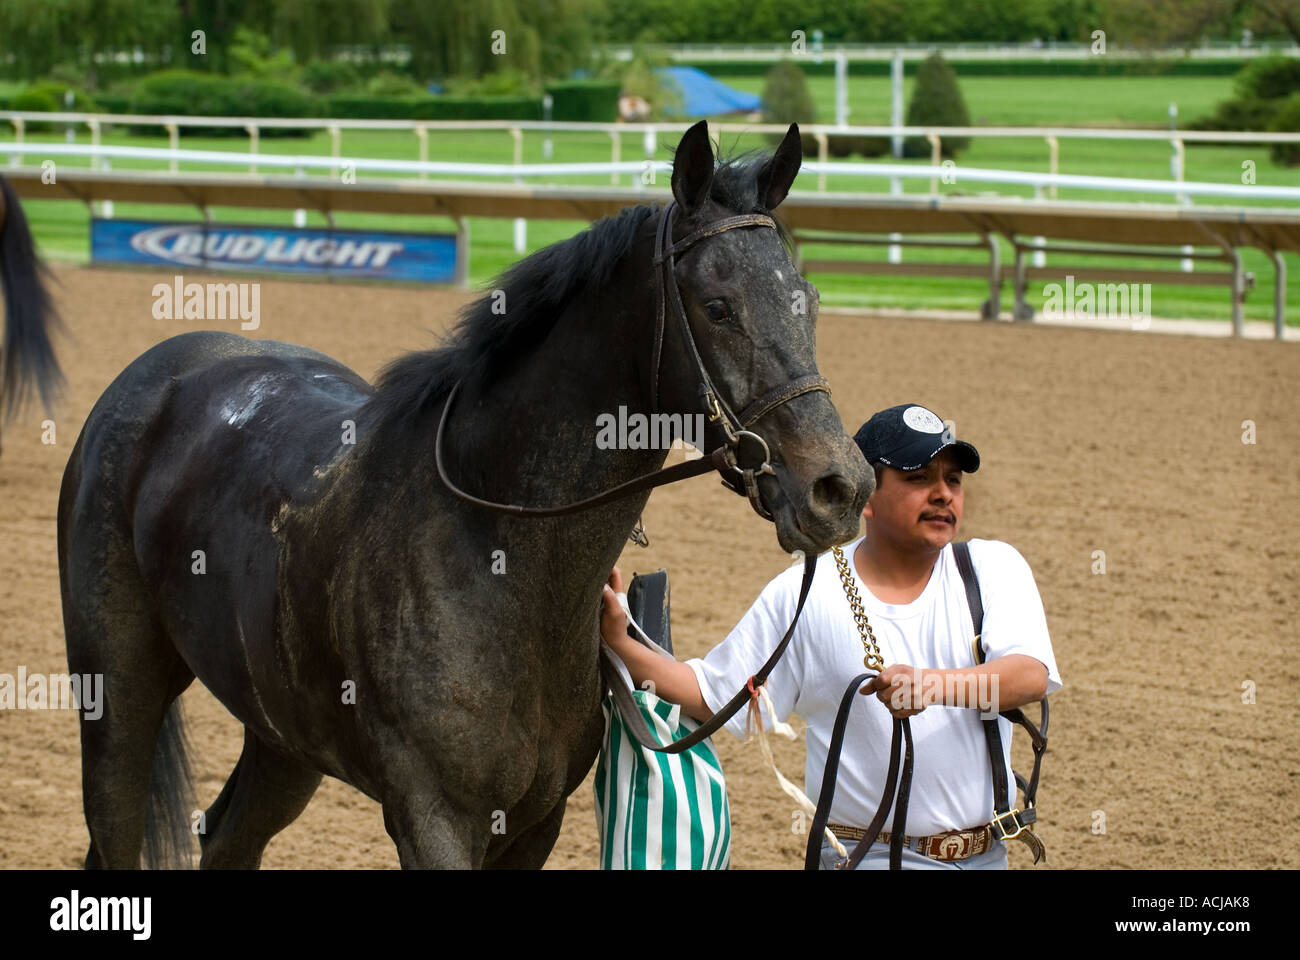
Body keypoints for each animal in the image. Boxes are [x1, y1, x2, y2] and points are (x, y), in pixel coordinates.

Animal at [61, 119, 873, 868]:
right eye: (719, 305)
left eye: (808, 299)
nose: (840, 487)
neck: (493, 547)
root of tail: (157, 372)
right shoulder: (433, 818)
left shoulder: (535, 821)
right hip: (118, 694)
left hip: (282, 737)